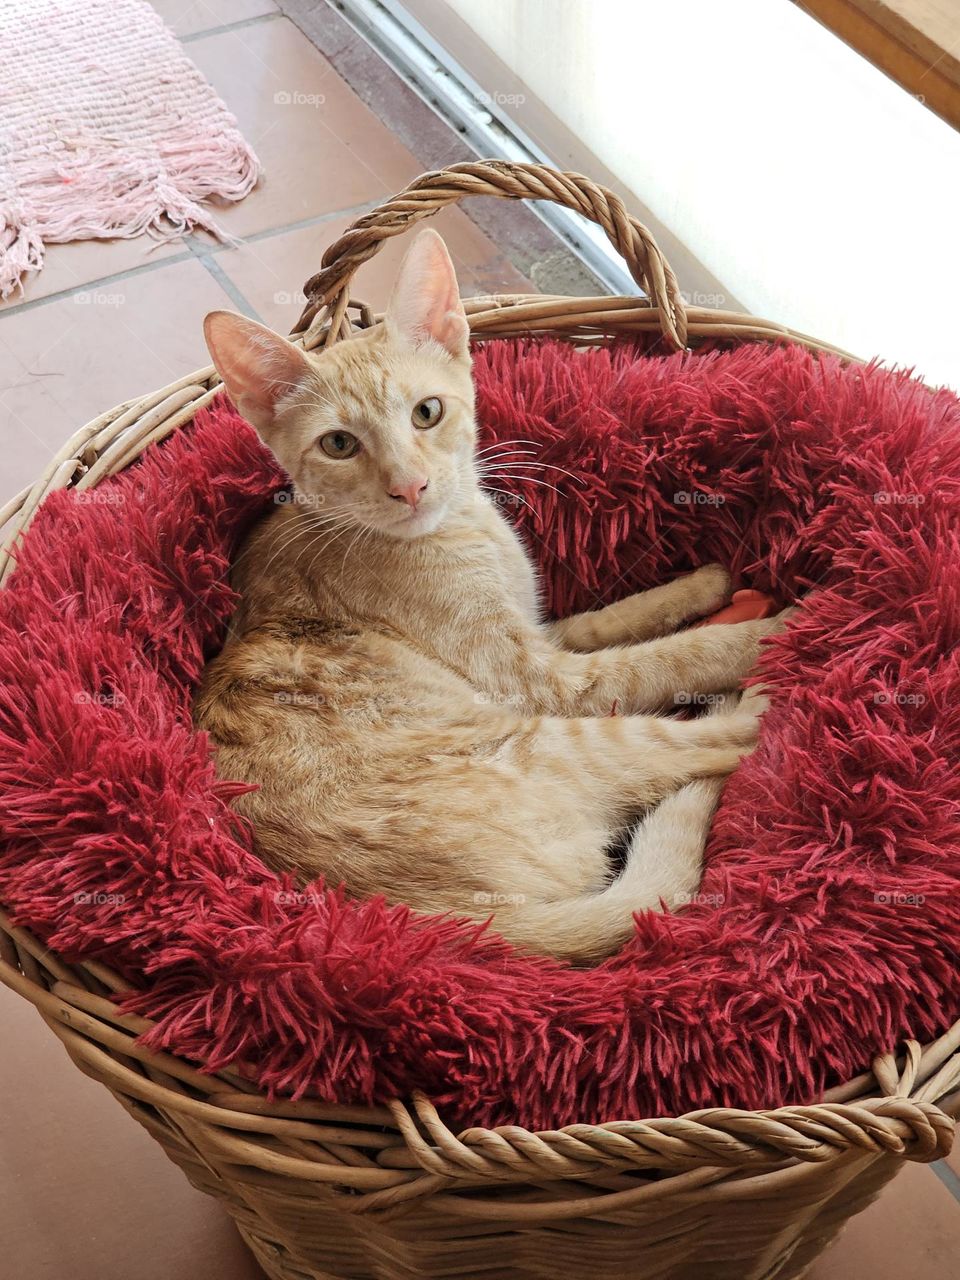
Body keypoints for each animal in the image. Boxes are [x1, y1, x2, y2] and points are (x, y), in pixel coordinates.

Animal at [193, 230, 783, 962]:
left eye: (427, 413)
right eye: (338, 443)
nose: (409, 486)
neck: (460, 527)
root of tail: (428, 927)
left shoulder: (542, 629)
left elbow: (611, 619)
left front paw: (704, 582)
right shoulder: (548, 682)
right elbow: (675, 655)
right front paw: (767, 630)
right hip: (561, 739)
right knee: (714, 743)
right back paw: (779, 678)